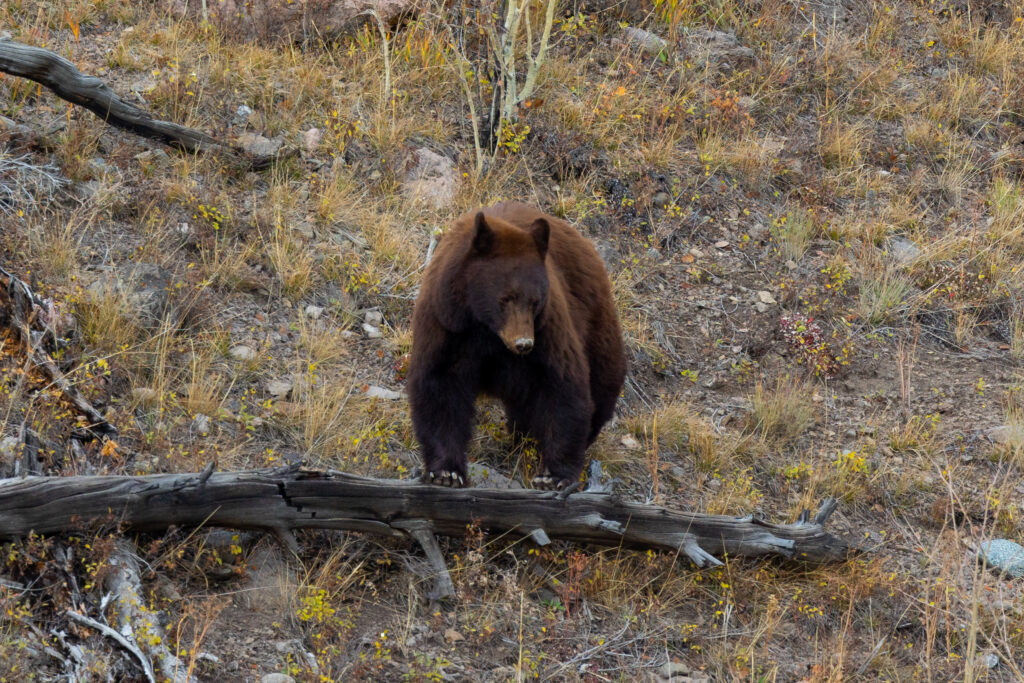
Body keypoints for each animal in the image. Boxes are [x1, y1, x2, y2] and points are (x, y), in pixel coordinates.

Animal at [407, 200, 622, 489]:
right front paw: (446, 472)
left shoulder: (547, 329)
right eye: (505, 298)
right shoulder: (447, 323)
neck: (486, 329)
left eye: (534, 301)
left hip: (595, 323)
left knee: (601, 384)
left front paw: (553, 476)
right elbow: (439, 386)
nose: (523, 344)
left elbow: (562, 387)